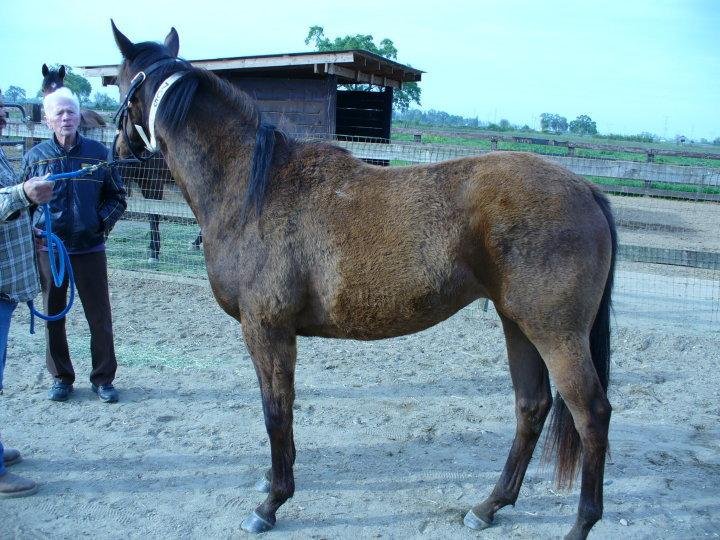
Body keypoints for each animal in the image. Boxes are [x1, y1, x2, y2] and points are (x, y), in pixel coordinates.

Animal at [111, 23, 617, 540]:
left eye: (118, 84)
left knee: (591, 416)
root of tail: (587, 189)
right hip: (517, 324)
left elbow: (276, 414)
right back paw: (489, 506)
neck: (254, 189)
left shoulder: (267, 329)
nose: (118, 156)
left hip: (555, 333)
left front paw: (271, 503)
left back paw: (580, 523)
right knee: (531, 407)